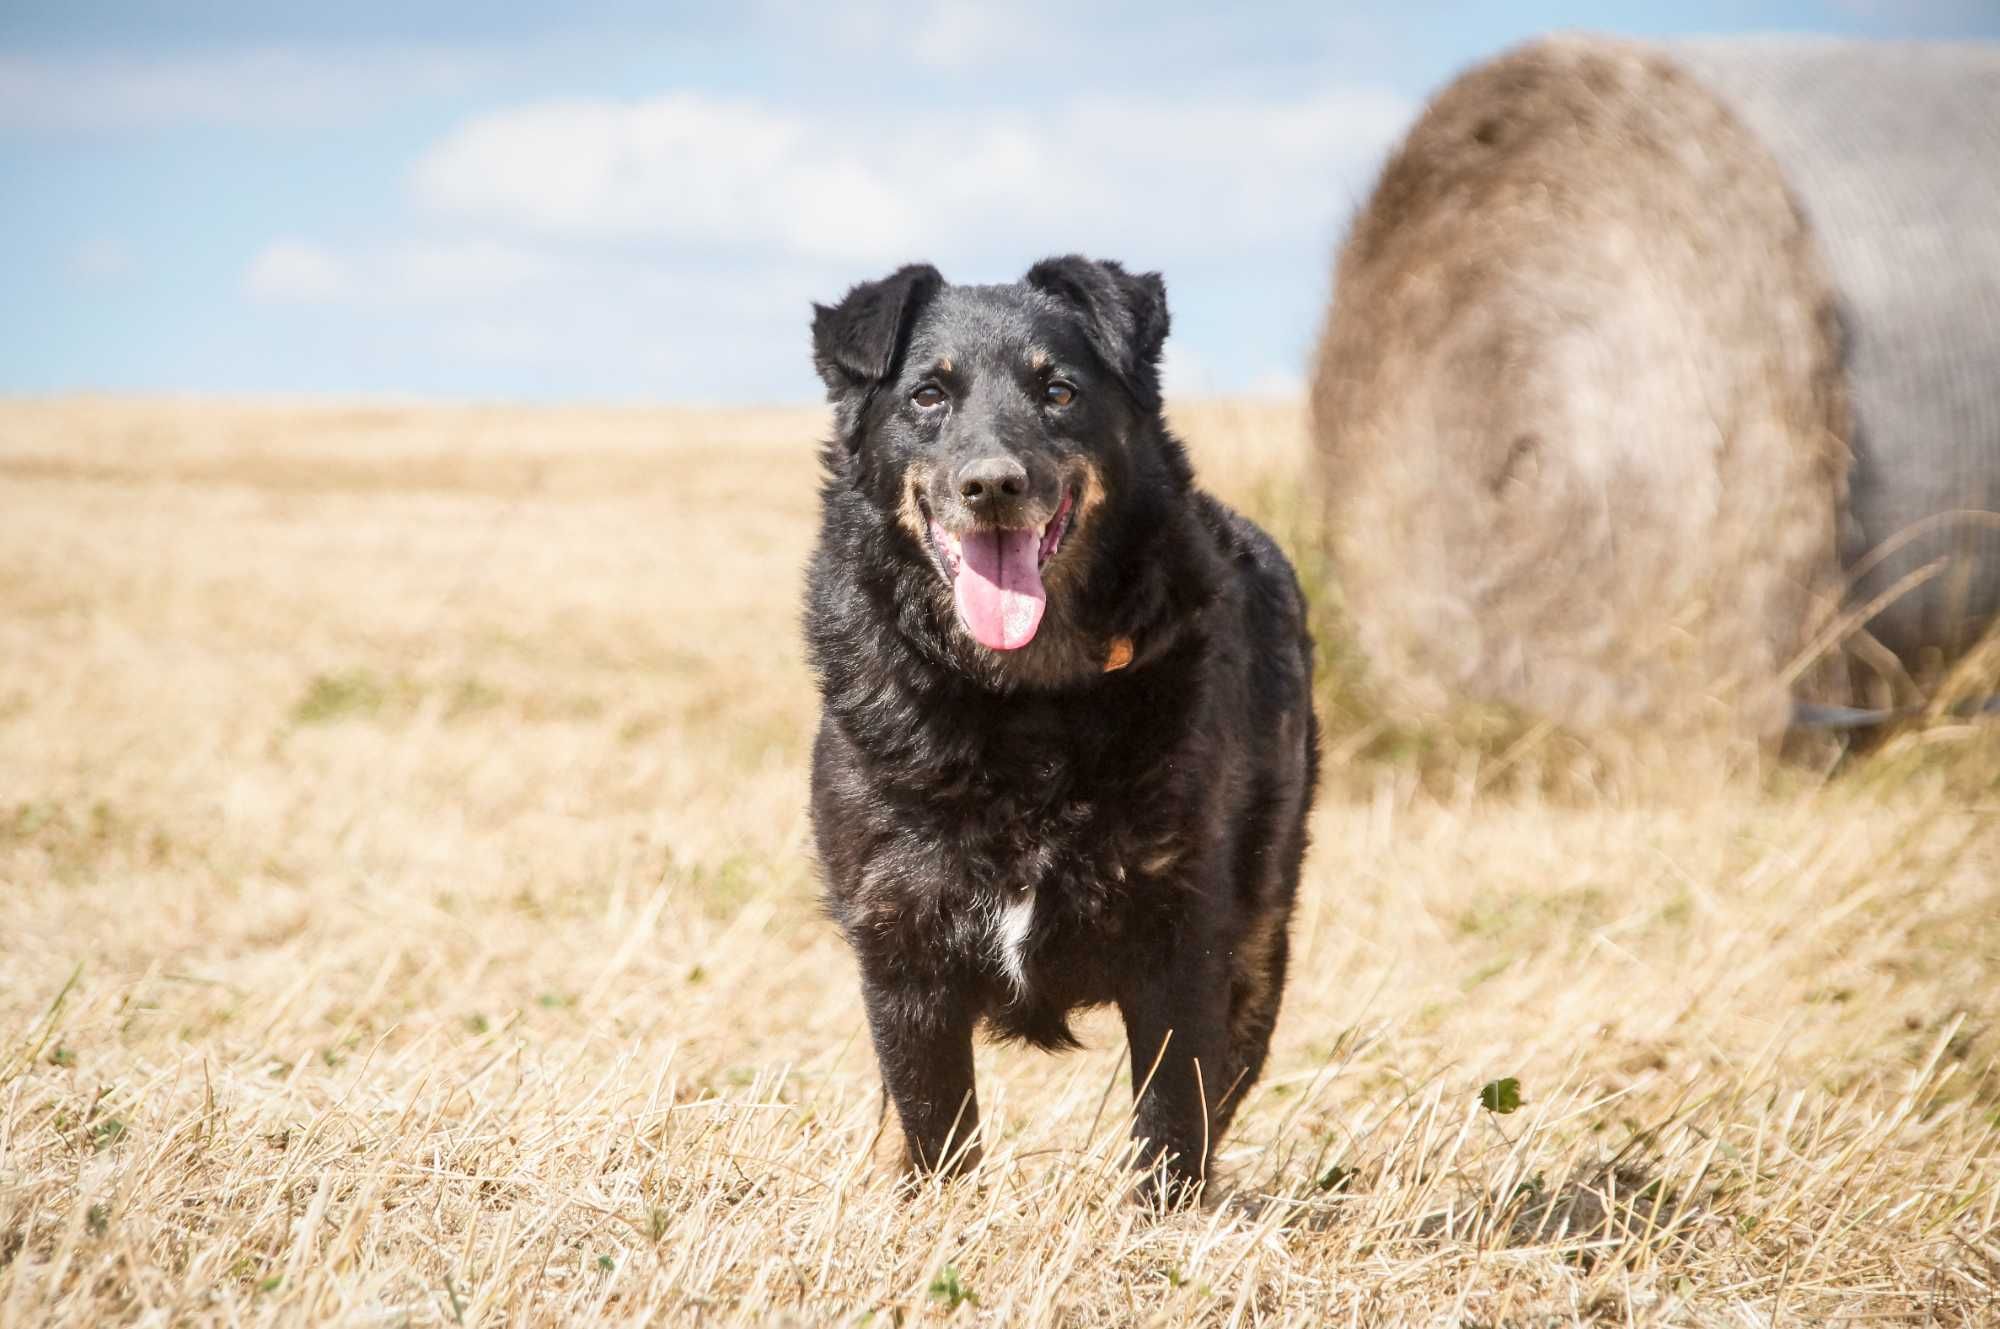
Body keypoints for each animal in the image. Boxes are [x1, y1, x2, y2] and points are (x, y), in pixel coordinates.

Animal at [804, 252, 1320, 1200]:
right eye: (927, 395)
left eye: (1059, 391)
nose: (993, 485)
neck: (1022, 698)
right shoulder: (899, 939)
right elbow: (932, 1117)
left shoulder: (1183, 931)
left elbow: (1174, 1116)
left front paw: (1161, 1218)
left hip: (1264, 921)